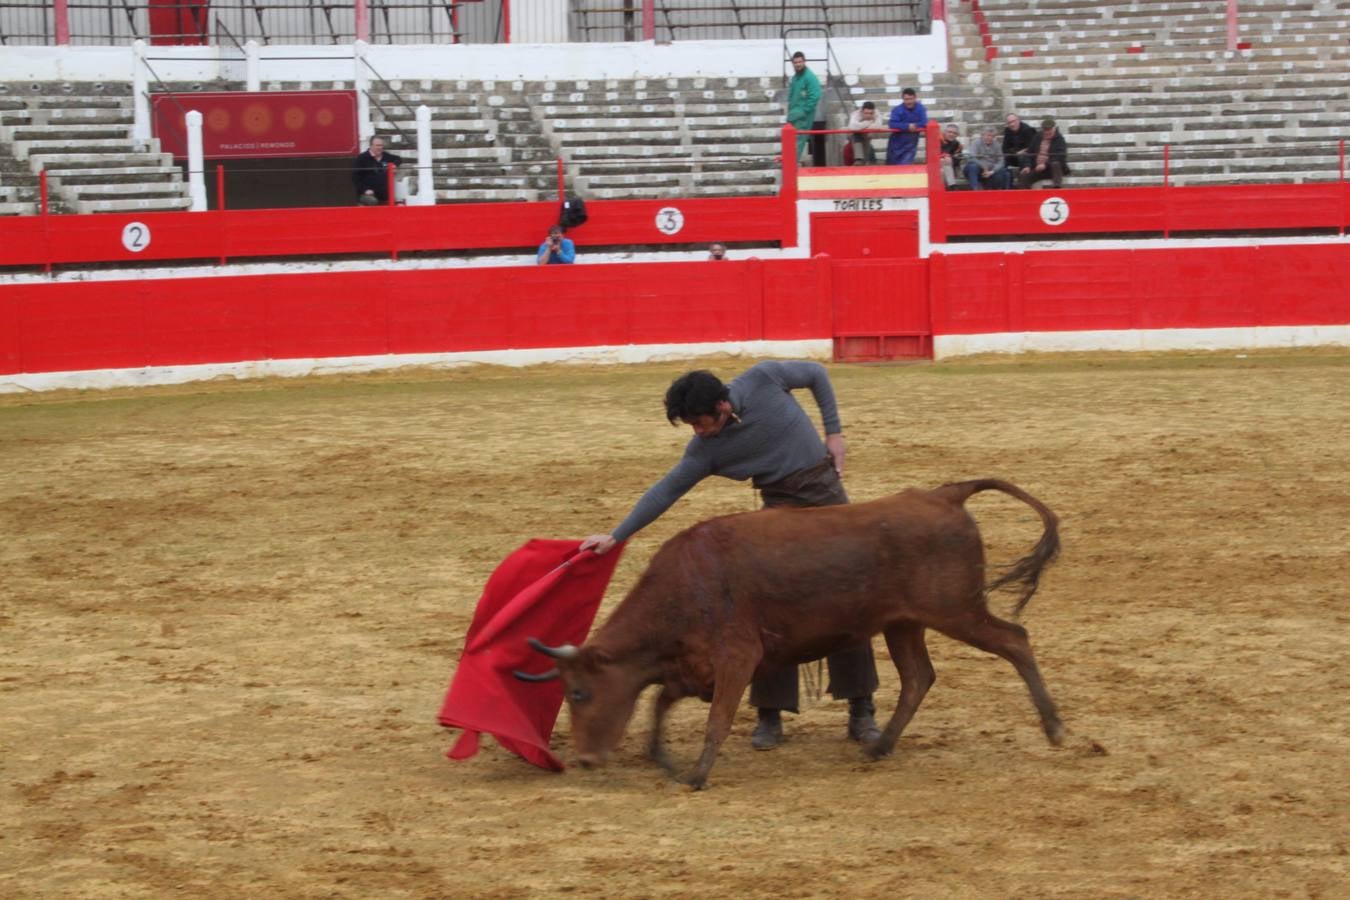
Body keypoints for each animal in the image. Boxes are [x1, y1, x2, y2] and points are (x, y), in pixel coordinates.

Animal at [515, 477, 1063, 788]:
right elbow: (659, 704)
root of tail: (943, 495)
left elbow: (715, 718)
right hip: (903, 623)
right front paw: (664, 760)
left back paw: (1055, 729)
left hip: (956, 610)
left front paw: (696, 776)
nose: (587, 759)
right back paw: (878, 747)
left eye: (579, 692)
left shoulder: (736, 657)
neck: (685, 582)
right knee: (917, 677)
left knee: (1014, 640)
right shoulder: (690, 667)